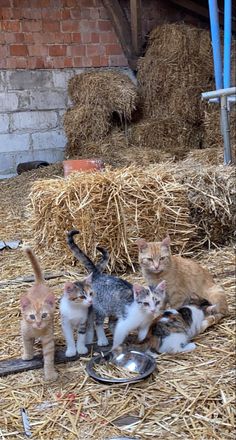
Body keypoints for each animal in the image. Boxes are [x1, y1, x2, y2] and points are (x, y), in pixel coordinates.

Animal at [20, 248, 58, 382]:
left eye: (44, 315)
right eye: (32, 317)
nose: (38, 323)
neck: (36, 331)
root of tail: (39, 284)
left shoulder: (48, 340)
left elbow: (48, 358)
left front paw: (50, 374)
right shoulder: (25, 332)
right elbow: (27, 344)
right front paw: (28, 355)